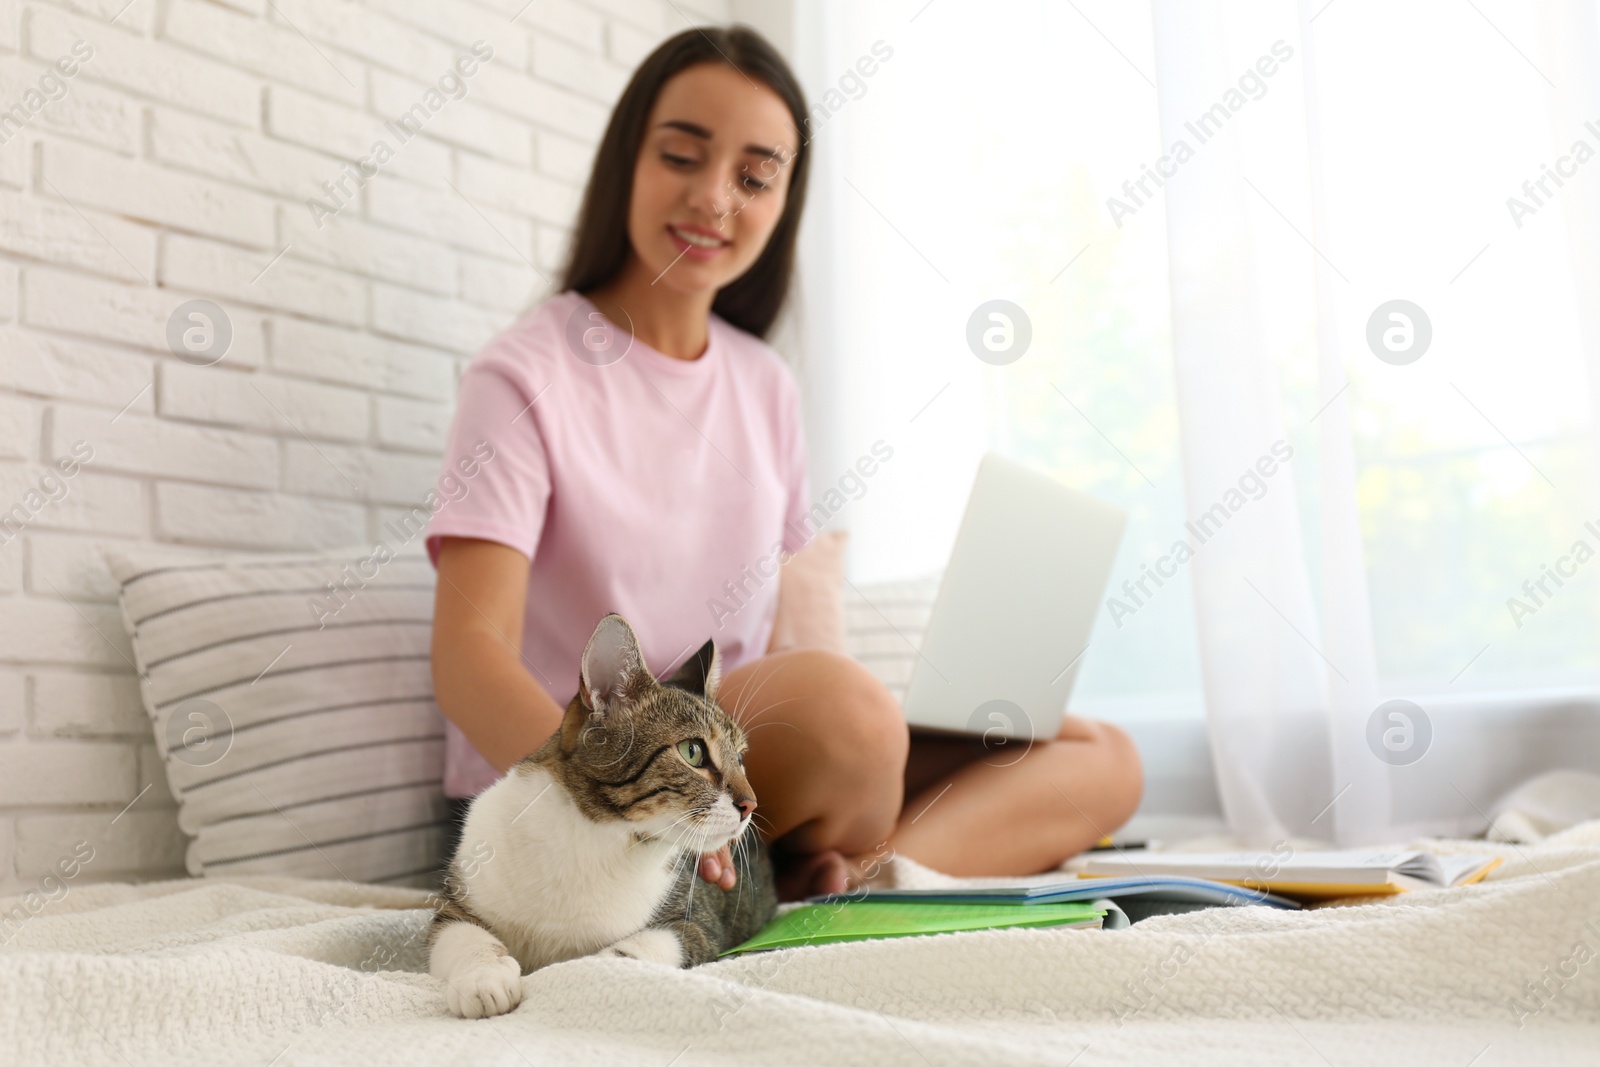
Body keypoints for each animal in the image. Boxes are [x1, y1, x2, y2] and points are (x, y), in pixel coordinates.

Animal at [425, 607, 774, 1017]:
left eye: (740, 759)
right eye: (693, 752)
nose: (751, 804)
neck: (595, 835)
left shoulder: (697, 925)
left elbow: (633, 950)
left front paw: (588, 969)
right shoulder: (457, 902)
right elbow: (464, 936)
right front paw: (483, 978)